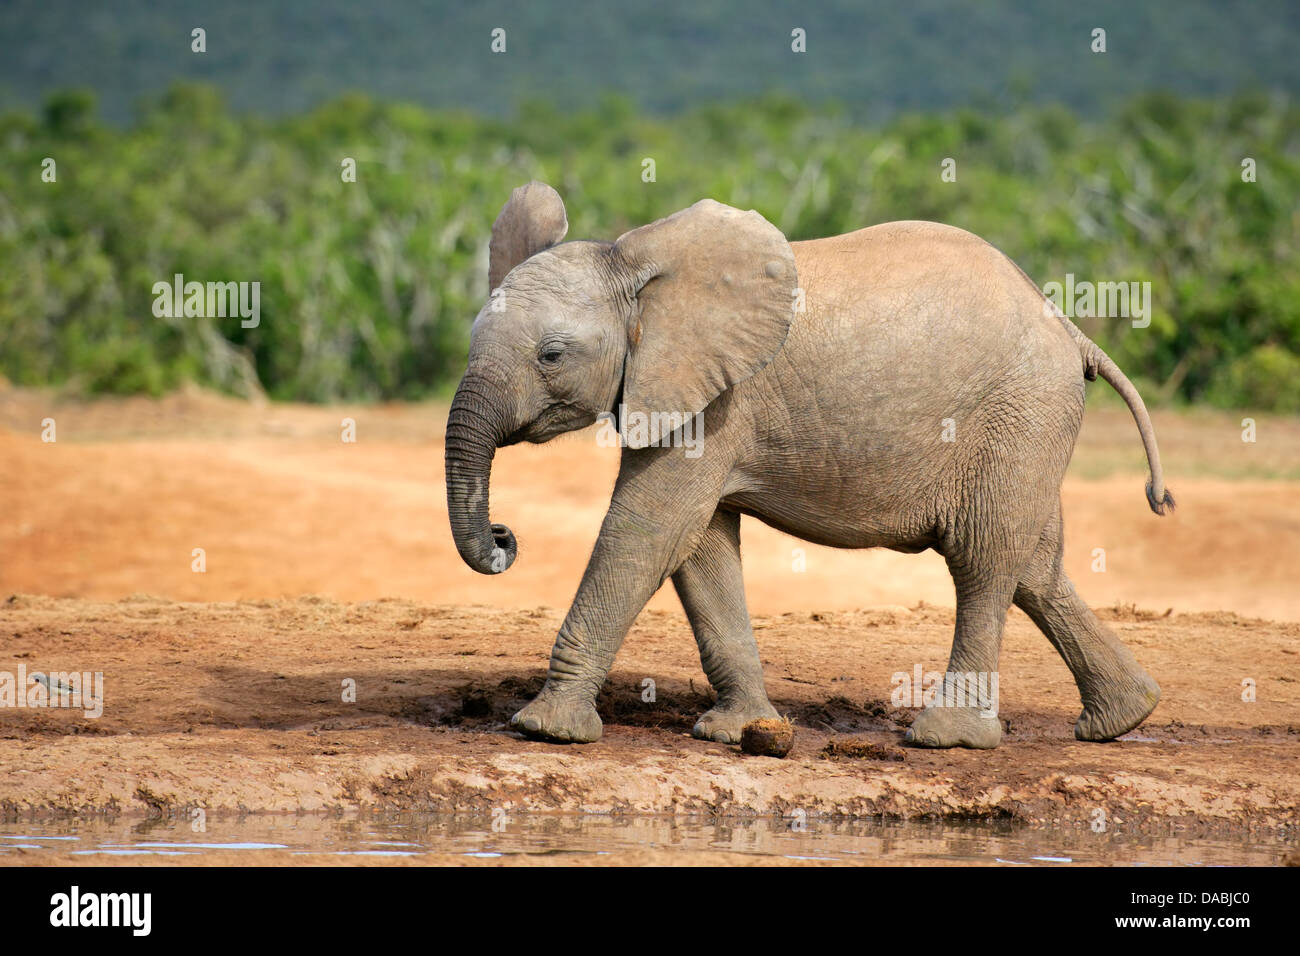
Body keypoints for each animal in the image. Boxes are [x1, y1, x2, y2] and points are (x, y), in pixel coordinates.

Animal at [444, 179, 1170, 749]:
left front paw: (543, 730)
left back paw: (948, 739)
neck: (634, 264)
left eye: (552, 356)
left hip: (1019, 411)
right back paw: (1124, 718)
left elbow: (646, 530)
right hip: (1029, 426)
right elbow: (698, 546)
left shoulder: (718, 399)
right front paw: (736, 733)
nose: (504, 537)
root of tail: (1068, 327)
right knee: (1035, 565)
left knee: (984, 557)